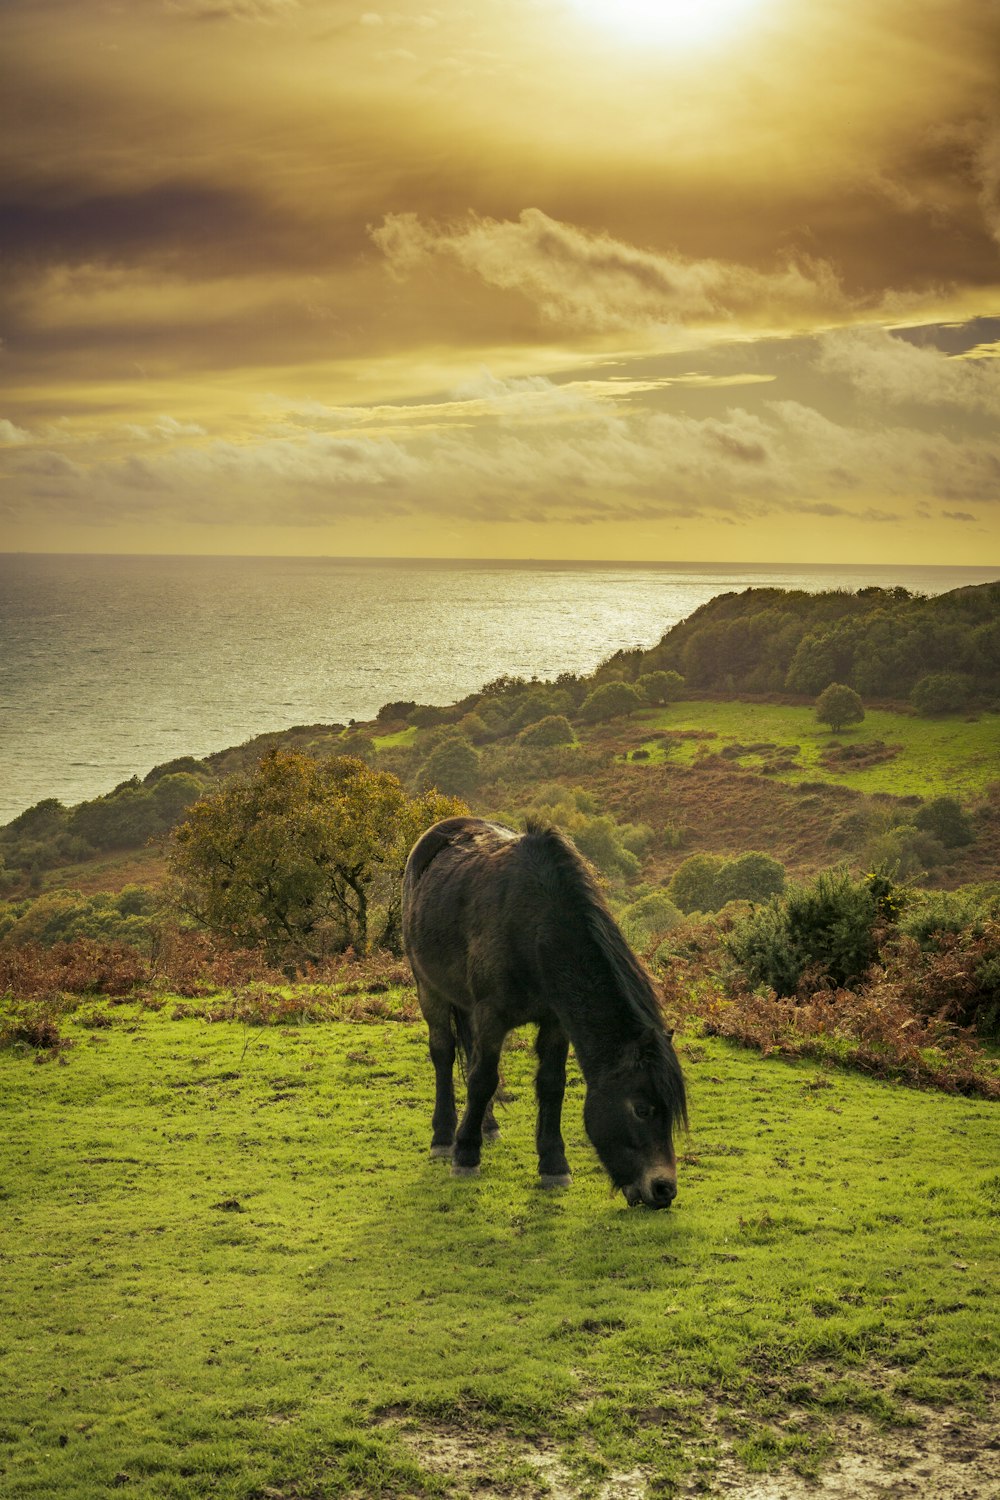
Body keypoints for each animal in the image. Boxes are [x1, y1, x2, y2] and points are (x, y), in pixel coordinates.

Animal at [398, 816, 689, 1212]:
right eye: (642, 1109)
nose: (663, 1190)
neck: (534, 927)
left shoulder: (554, 1022)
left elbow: (550, 1085)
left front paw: (553, 1165)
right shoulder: (492, 1015)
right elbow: (482, 1079)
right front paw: (465, 1155)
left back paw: (487, 1126)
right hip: (430, 987)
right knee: (444, 1055)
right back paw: (445, 1137)